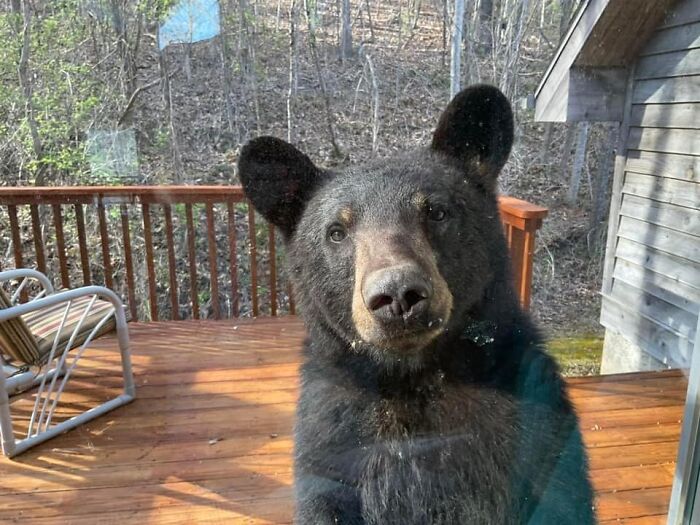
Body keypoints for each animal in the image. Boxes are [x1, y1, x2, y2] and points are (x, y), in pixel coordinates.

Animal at [238, 86, 592, 524]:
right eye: (336, 231)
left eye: (437, 211)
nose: (397, 294)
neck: (410, 377)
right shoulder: (333, 443)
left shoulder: (533, 435)